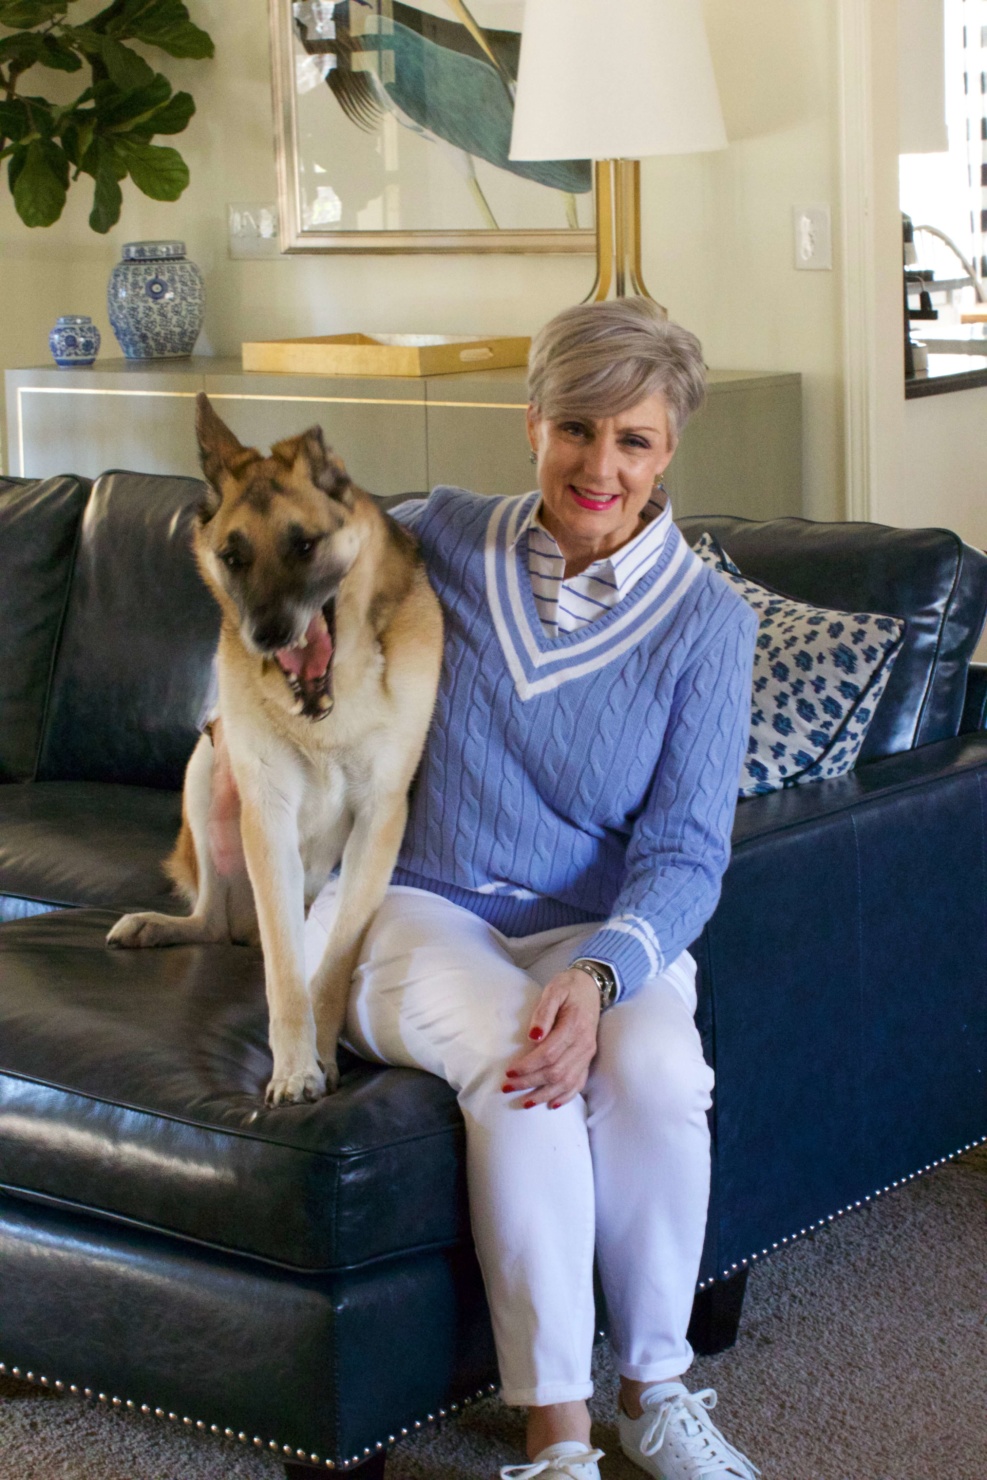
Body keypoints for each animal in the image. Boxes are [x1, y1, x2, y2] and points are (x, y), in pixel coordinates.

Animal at [108, 399, 443, 1107]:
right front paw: (293, 1067)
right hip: (206, 765)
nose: (266, 634)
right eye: (233, 557)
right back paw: (160, 925)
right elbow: (284, 970)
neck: (329, 705)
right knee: (212, 921)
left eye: (305, 545)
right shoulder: (268, 819)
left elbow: (333, 961)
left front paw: (322, 1052)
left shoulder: (380, 822)